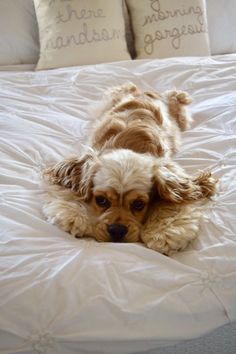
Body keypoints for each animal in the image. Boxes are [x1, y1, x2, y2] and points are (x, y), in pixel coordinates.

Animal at [43, 83, 217, 254]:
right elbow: (73, 193)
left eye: (138, 204)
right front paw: (75, 216)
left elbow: (169, 204)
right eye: (101, 200)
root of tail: (144, 91)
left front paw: (164, 233)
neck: (128, 144)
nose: (117, 230)